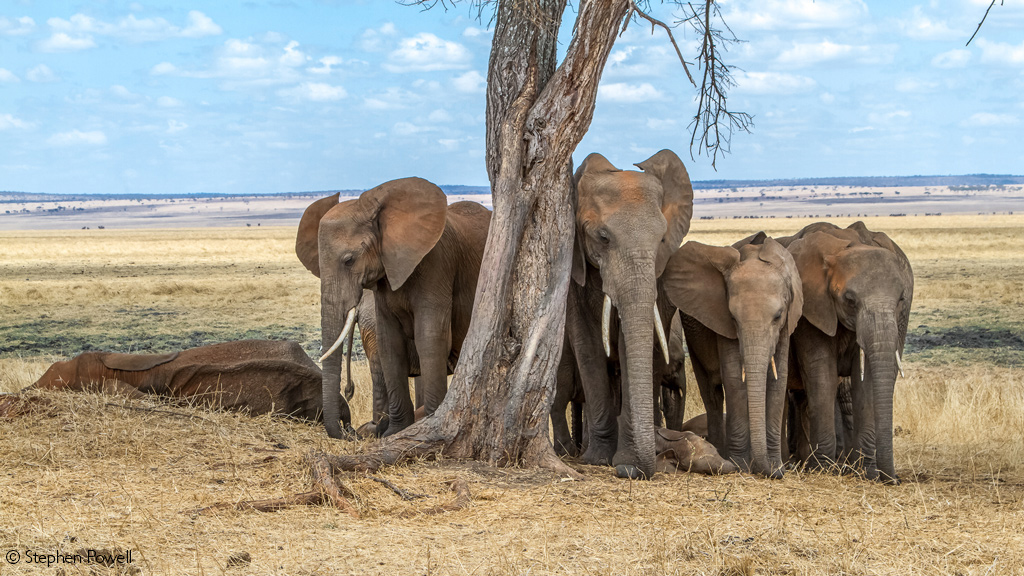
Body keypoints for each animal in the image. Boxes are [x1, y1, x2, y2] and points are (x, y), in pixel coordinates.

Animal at [295, 178, 490, 439]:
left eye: (349, 260)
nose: (348, 431)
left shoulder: (437, 264)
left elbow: (429, 337)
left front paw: (425, 424)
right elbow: (389, 340)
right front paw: (395, 433)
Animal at [563, 149, 694, 479]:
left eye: (661, 240)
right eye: (603, 237)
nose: (632, 471)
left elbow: (629, 342)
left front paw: (625, 459)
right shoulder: (572, 269)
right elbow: (588, 345)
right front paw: (598, 459)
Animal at [660, 233, 803, 477]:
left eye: (777, 316)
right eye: (734, 318)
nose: (771, 470)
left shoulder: (787, 323)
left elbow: (779, 379)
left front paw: (777, 467)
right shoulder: (721, 320)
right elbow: (735, 378)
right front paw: (742, 466)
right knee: (712, 393)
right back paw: (719, 449)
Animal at [782, 221, 913, 483]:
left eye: (900, 300)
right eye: (850, 300)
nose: (894, 479)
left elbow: (868, 381)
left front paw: (867, 472)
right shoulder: (811, 308)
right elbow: (823, 374)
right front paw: (824, 470)